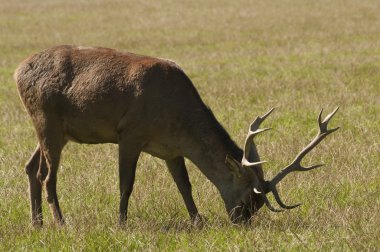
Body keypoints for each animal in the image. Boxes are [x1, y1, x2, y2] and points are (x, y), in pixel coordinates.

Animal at [14, 45, 338, 226]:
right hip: (46, 120)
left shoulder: (172, 150)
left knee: (31, 167)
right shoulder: (130, 132)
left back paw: (37, 223)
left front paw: (197, 221)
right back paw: (60, 222)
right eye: (250, 197)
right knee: (47, 176)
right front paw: (121, 223)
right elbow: (126, 184)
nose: (241, 222)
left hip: (54, 130)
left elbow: (185, 186)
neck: (177, 120)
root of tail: (17, 71)